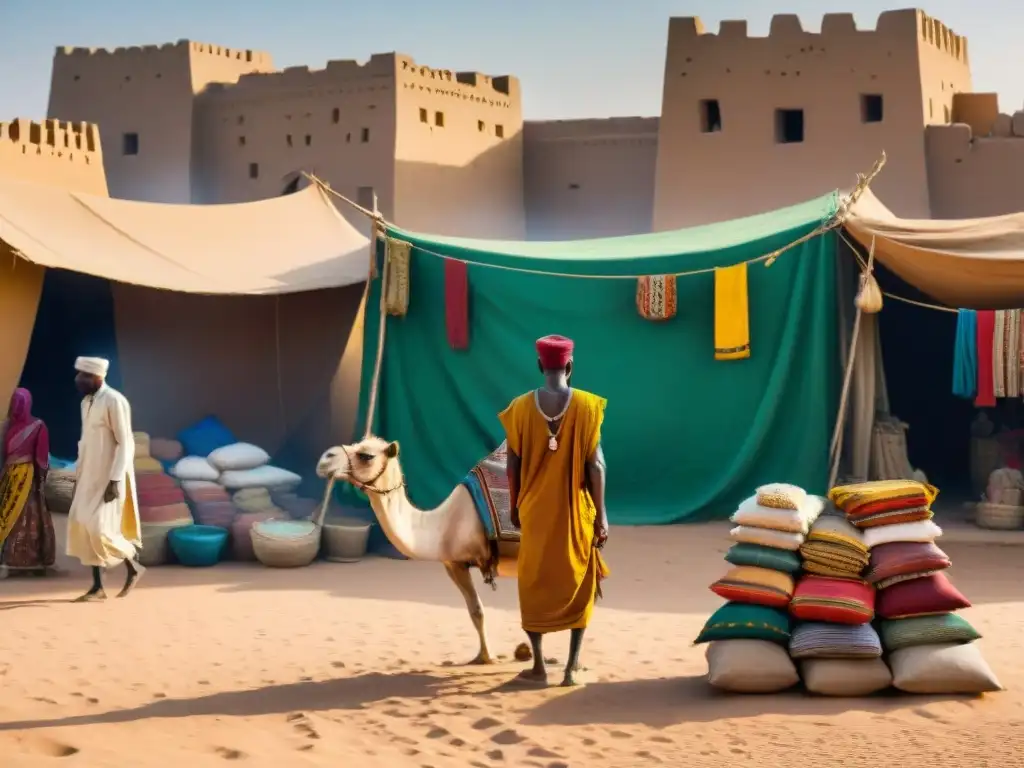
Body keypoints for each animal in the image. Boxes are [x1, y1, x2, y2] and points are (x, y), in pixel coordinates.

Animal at [315, 436, 520, 663]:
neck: (444, 523)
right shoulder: (455, 564)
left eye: (366, 456)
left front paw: (493, 657)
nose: (325, 459)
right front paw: (484, 657)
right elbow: (476, 611)